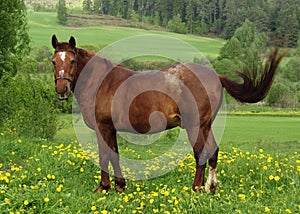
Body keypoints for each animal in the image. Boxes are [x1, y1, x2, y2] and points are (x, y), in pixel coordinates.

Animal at [51, 34, 286, 192]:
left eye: (72, 60)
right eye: (54, 61)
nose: (62, 90)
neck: (102, 82)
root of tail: (215, 75)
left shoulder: (103, 127)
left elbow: (104, 156)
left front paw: (103, 187)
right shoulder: (112, 129)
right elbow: (114, 155)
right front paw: (119, 186)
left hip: (194, 126)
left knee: (201, 153)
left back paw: (196, 188)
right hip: (205, 126)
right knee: (212, 152)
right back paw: (210, 187)